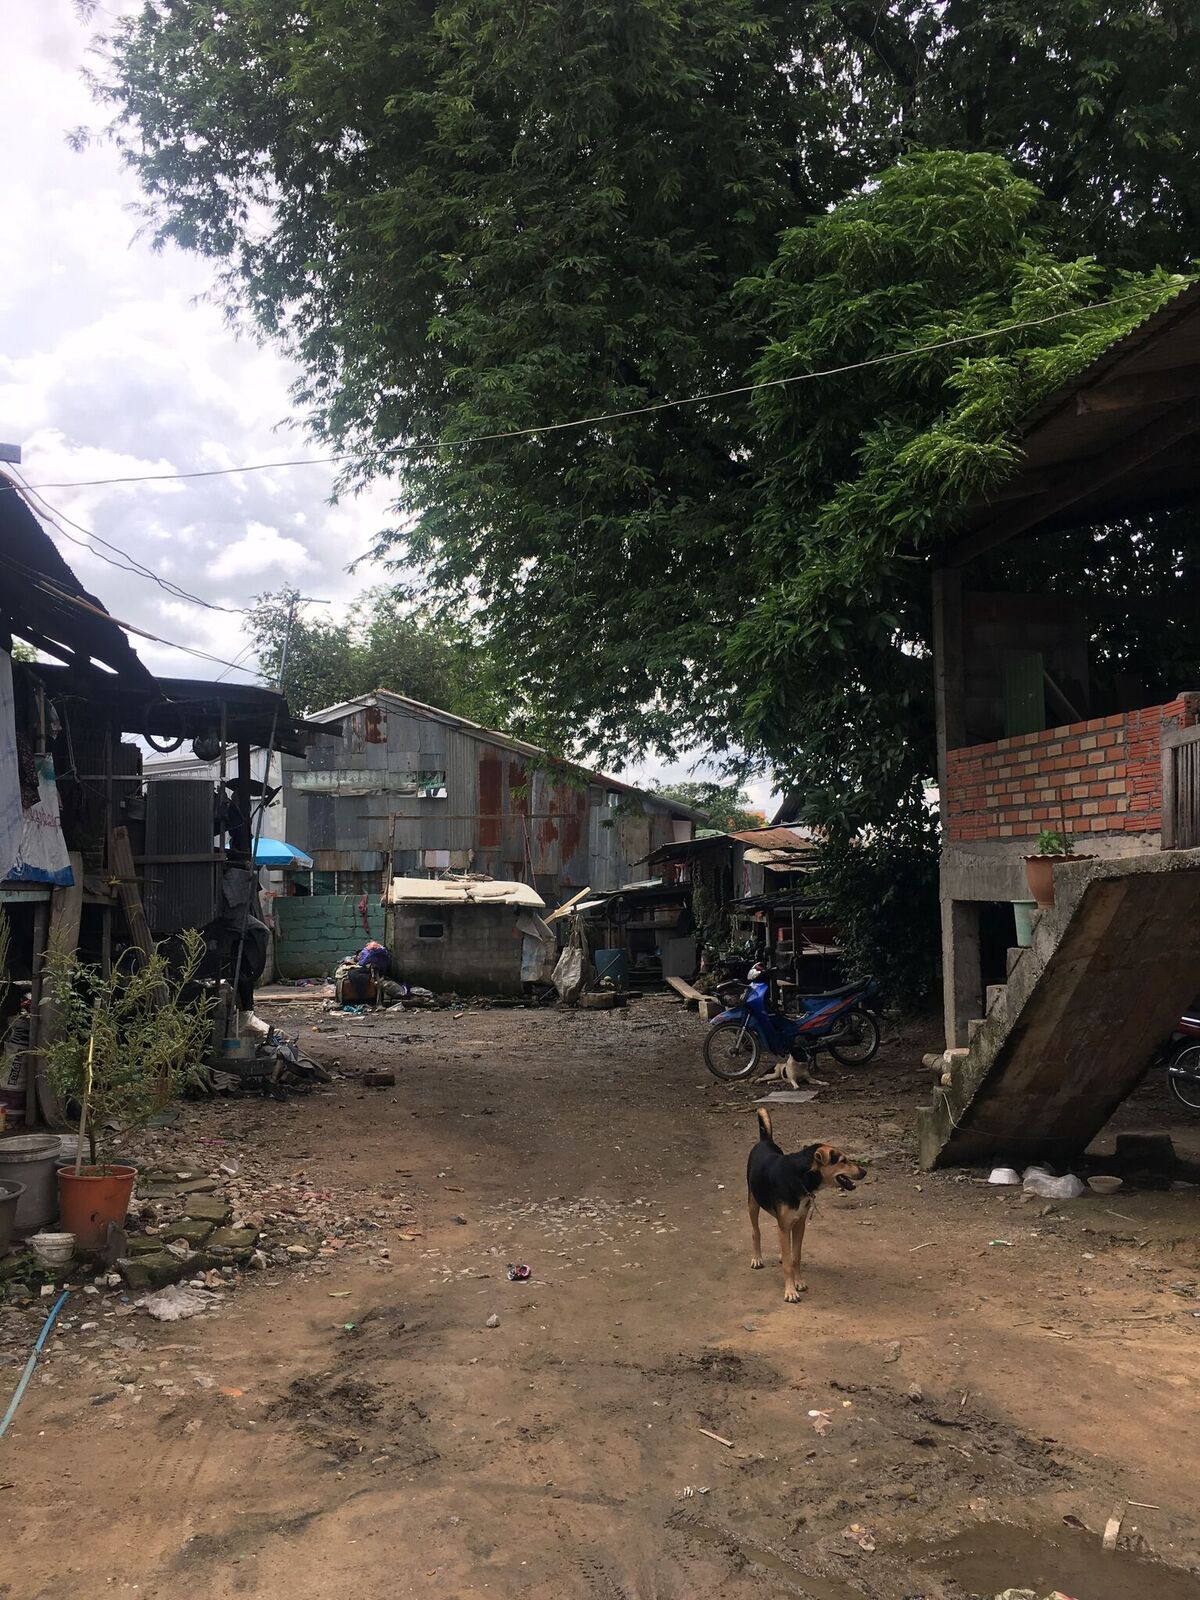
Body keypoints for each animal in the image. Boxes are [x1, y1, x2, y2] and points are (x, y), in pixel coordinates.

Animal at [748, 1113, 870, 1299]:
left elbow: (795, 1256)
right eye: (842, 1161)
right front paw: (790, 1291)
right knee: (756, 1231)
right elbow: (788, 1262)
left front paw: (798, 1282)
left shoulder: (799, 1224)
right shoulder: (786, 1224)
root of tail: (765, 1140)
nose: (864, 1172)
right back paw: (757, 1258)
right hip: (753, 1202)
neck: (800, 1177)